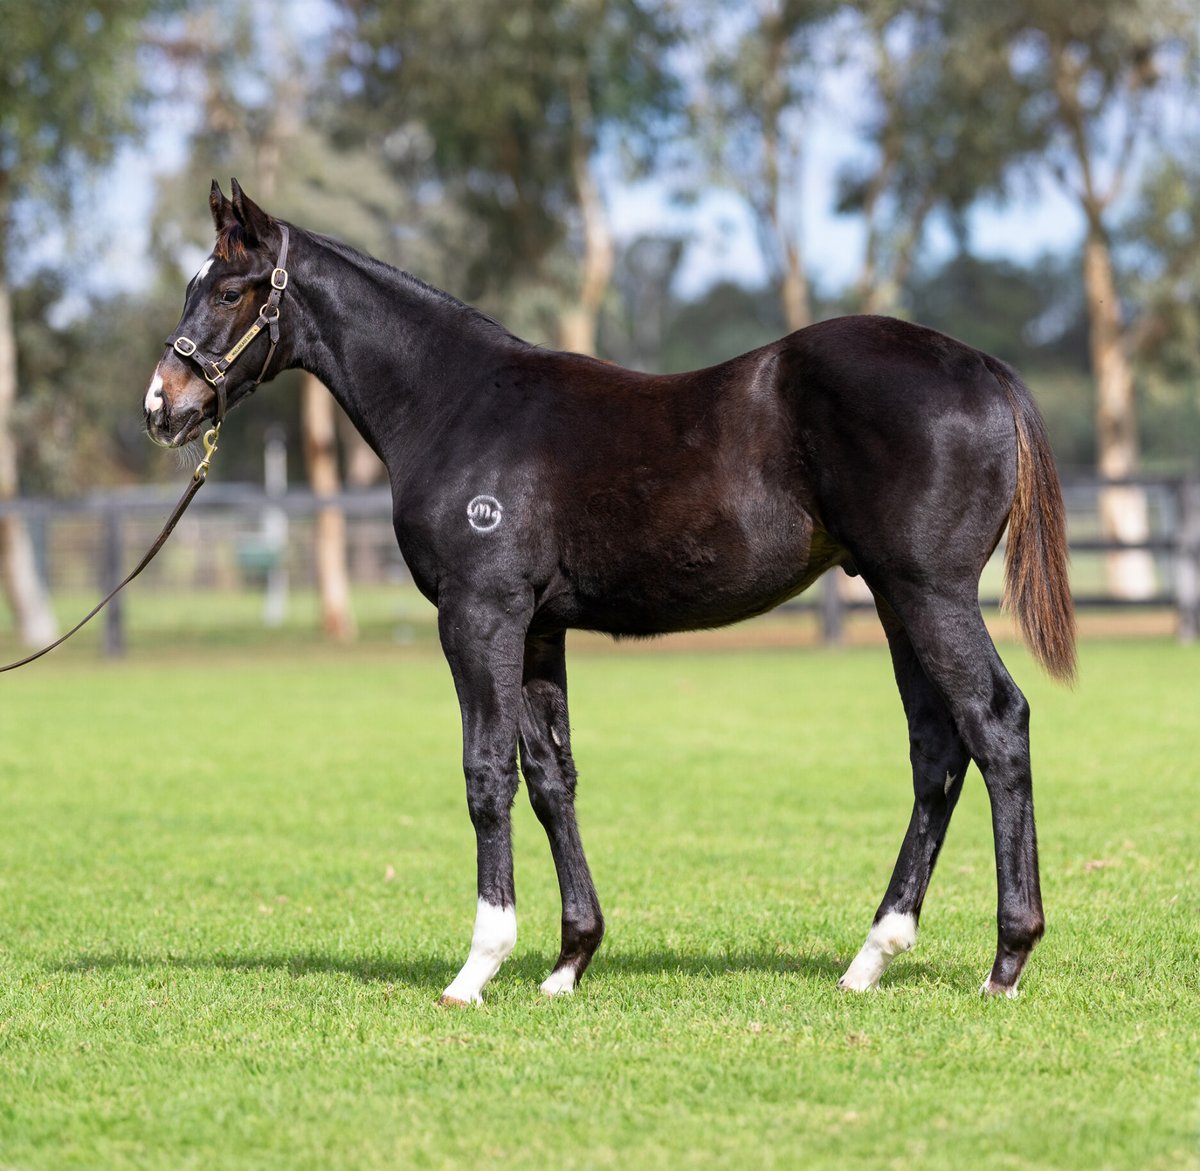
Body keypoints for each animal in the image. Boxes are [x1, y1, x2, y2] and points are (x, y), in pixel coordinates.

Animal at [145, 182, 1075, 1007]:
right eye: (194, 286)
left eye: (229, 289)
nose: (162, 406)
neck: (456, 402)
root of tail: (984, 369)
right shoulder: (536, 629)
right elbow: (551, 776)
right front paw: (568, 961)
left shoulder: (480, 613)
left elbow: (487, 773)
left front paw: (477, 968)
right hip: (890, 596)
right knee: (936, 747)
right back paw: (873, 956)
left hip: (930, 593)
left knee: (997, 721)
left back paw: (1006, 959)